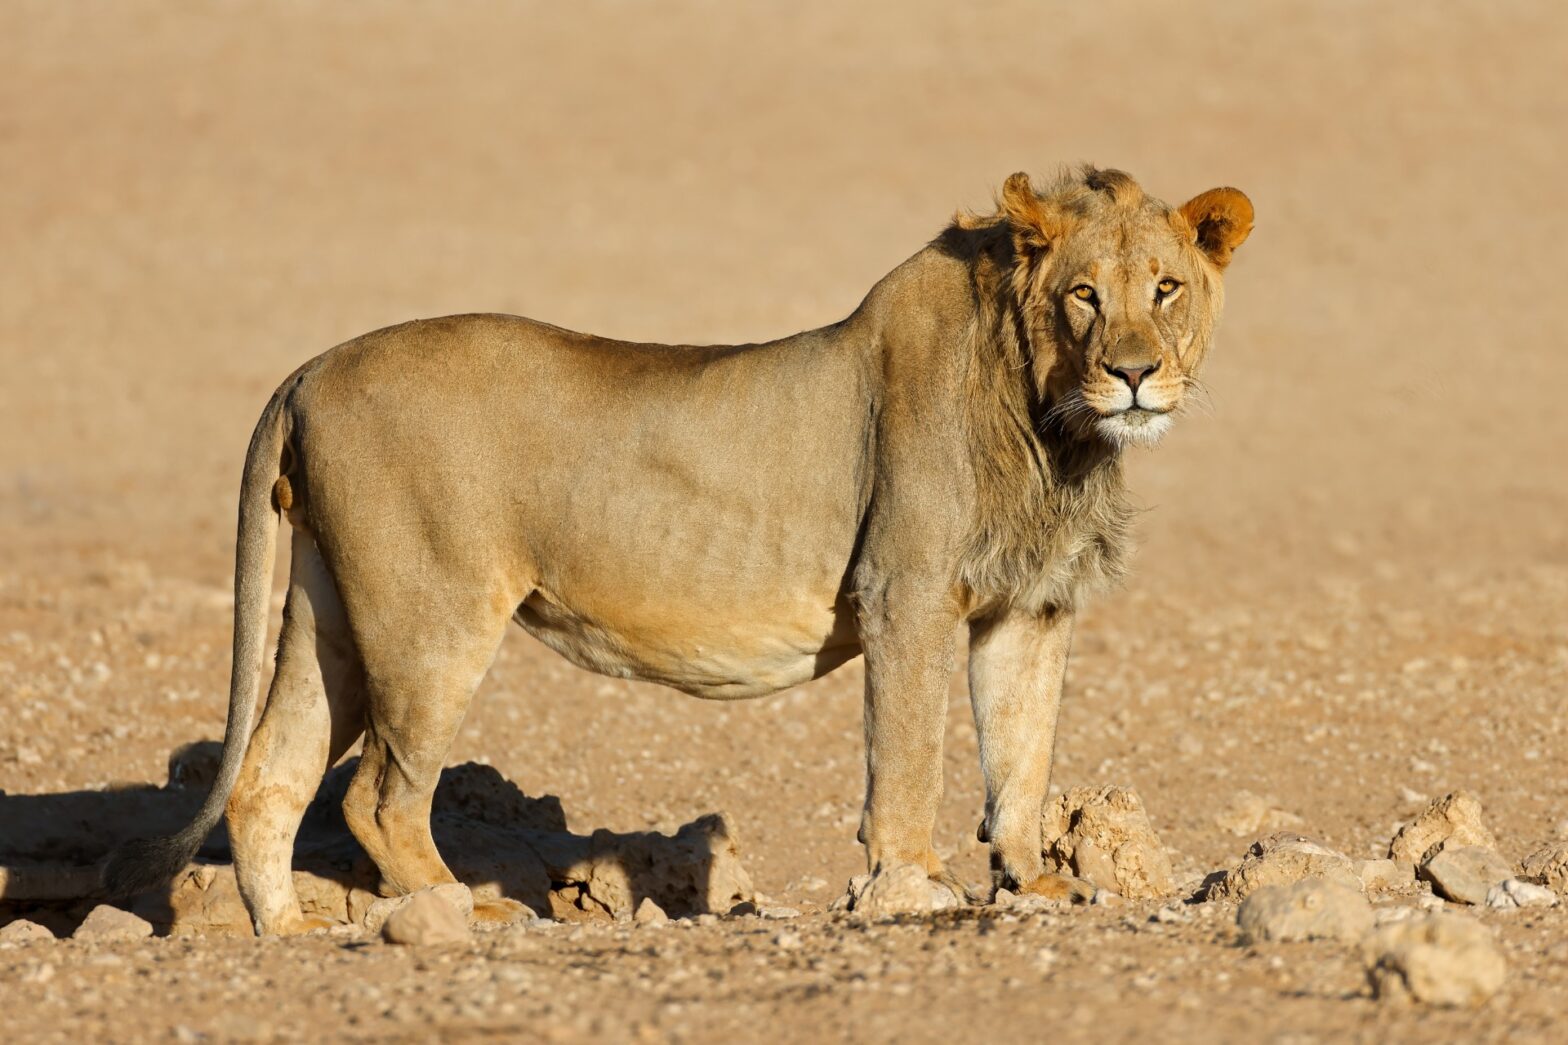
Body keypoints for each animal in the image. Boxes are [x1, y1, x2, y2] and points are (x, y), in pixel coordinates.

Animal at [104, 166, 1252, 933]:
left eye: (1164, 287)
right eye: (1083, 293)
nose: (1135, 373)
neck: (1057, 432)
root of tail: (309, 366)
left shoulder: (1028, 605)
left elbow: (1020, 748)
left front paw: (1034, 878)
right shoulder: (907, 590)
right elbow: (910, 756)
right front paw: (911, 884)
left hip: (330, 613)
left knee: (269, 781)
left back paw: (290, 935)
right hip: (429, 614)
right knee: (377, 794)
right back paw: (458, 911)